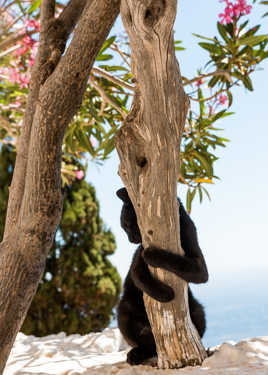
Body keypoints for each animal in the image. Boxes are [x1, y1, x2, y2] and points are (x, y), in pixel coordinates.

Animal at [116, 189, 208, 366]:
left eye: (128, 225)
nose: (131, 239)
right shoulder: (136, 265)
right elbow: (141, 277)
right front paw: (166, 294)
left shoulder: (199, 266)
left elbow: (176, 260)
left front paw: (152, 254)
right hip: (124, 308)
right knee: (146, 344)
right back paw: (136, 354)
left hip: (198, 310)